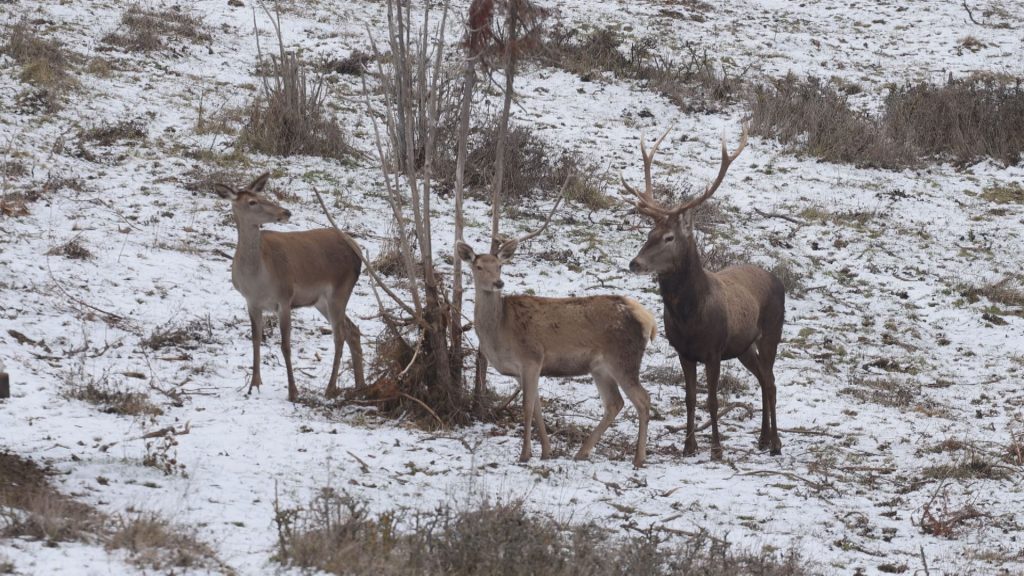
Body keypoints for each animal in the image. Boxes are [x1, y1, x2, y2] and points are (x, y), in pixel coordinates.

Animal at [211, 172, 364, 401]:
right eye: (252, 201)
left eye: (263, 195)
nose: (286, 212)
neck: (257, 279)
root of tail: (357, 250)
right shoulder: (251, 302)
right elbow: (256, 339)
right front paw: (254, 385)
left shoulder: (285, 298)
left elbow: (285, 345)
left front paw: (293, 392)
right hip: (321, 301)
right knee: (353, 330)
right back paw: (360, 385)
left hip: (340, 290)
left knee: (340, 335)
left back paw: (330, 388)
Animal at [456, 212, 655, 467]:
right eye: (478, 266)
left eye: (500, 266)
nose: (498, 283)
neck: (500, 331)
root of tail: (647, 318)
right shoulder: (522, 370)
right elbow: (537, 407)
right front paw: (546, 451)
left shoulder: (532, 356)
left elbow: (527, 407)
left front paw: (524, 455)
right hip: (600, 367)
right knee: (615, 403)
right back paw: (582, 452)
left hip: (623, 358)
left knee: (643, 399)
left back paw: (638, 458)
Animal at [622, 125, 782, 457]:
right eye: (649, 232)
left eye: (669, 237)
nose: (635, 262)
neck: (689, 317)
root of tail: (777, 278)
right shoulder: (684, 352)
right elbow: (690, 399)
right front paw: (689, 446)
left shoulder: (713, 350)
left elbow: (712, 399)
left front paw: (717, 449)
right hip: (744, 346)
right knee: (763, 379)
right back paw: (762, 439)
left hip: (772, 332)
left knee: (772, 381)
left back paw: (775, 442)